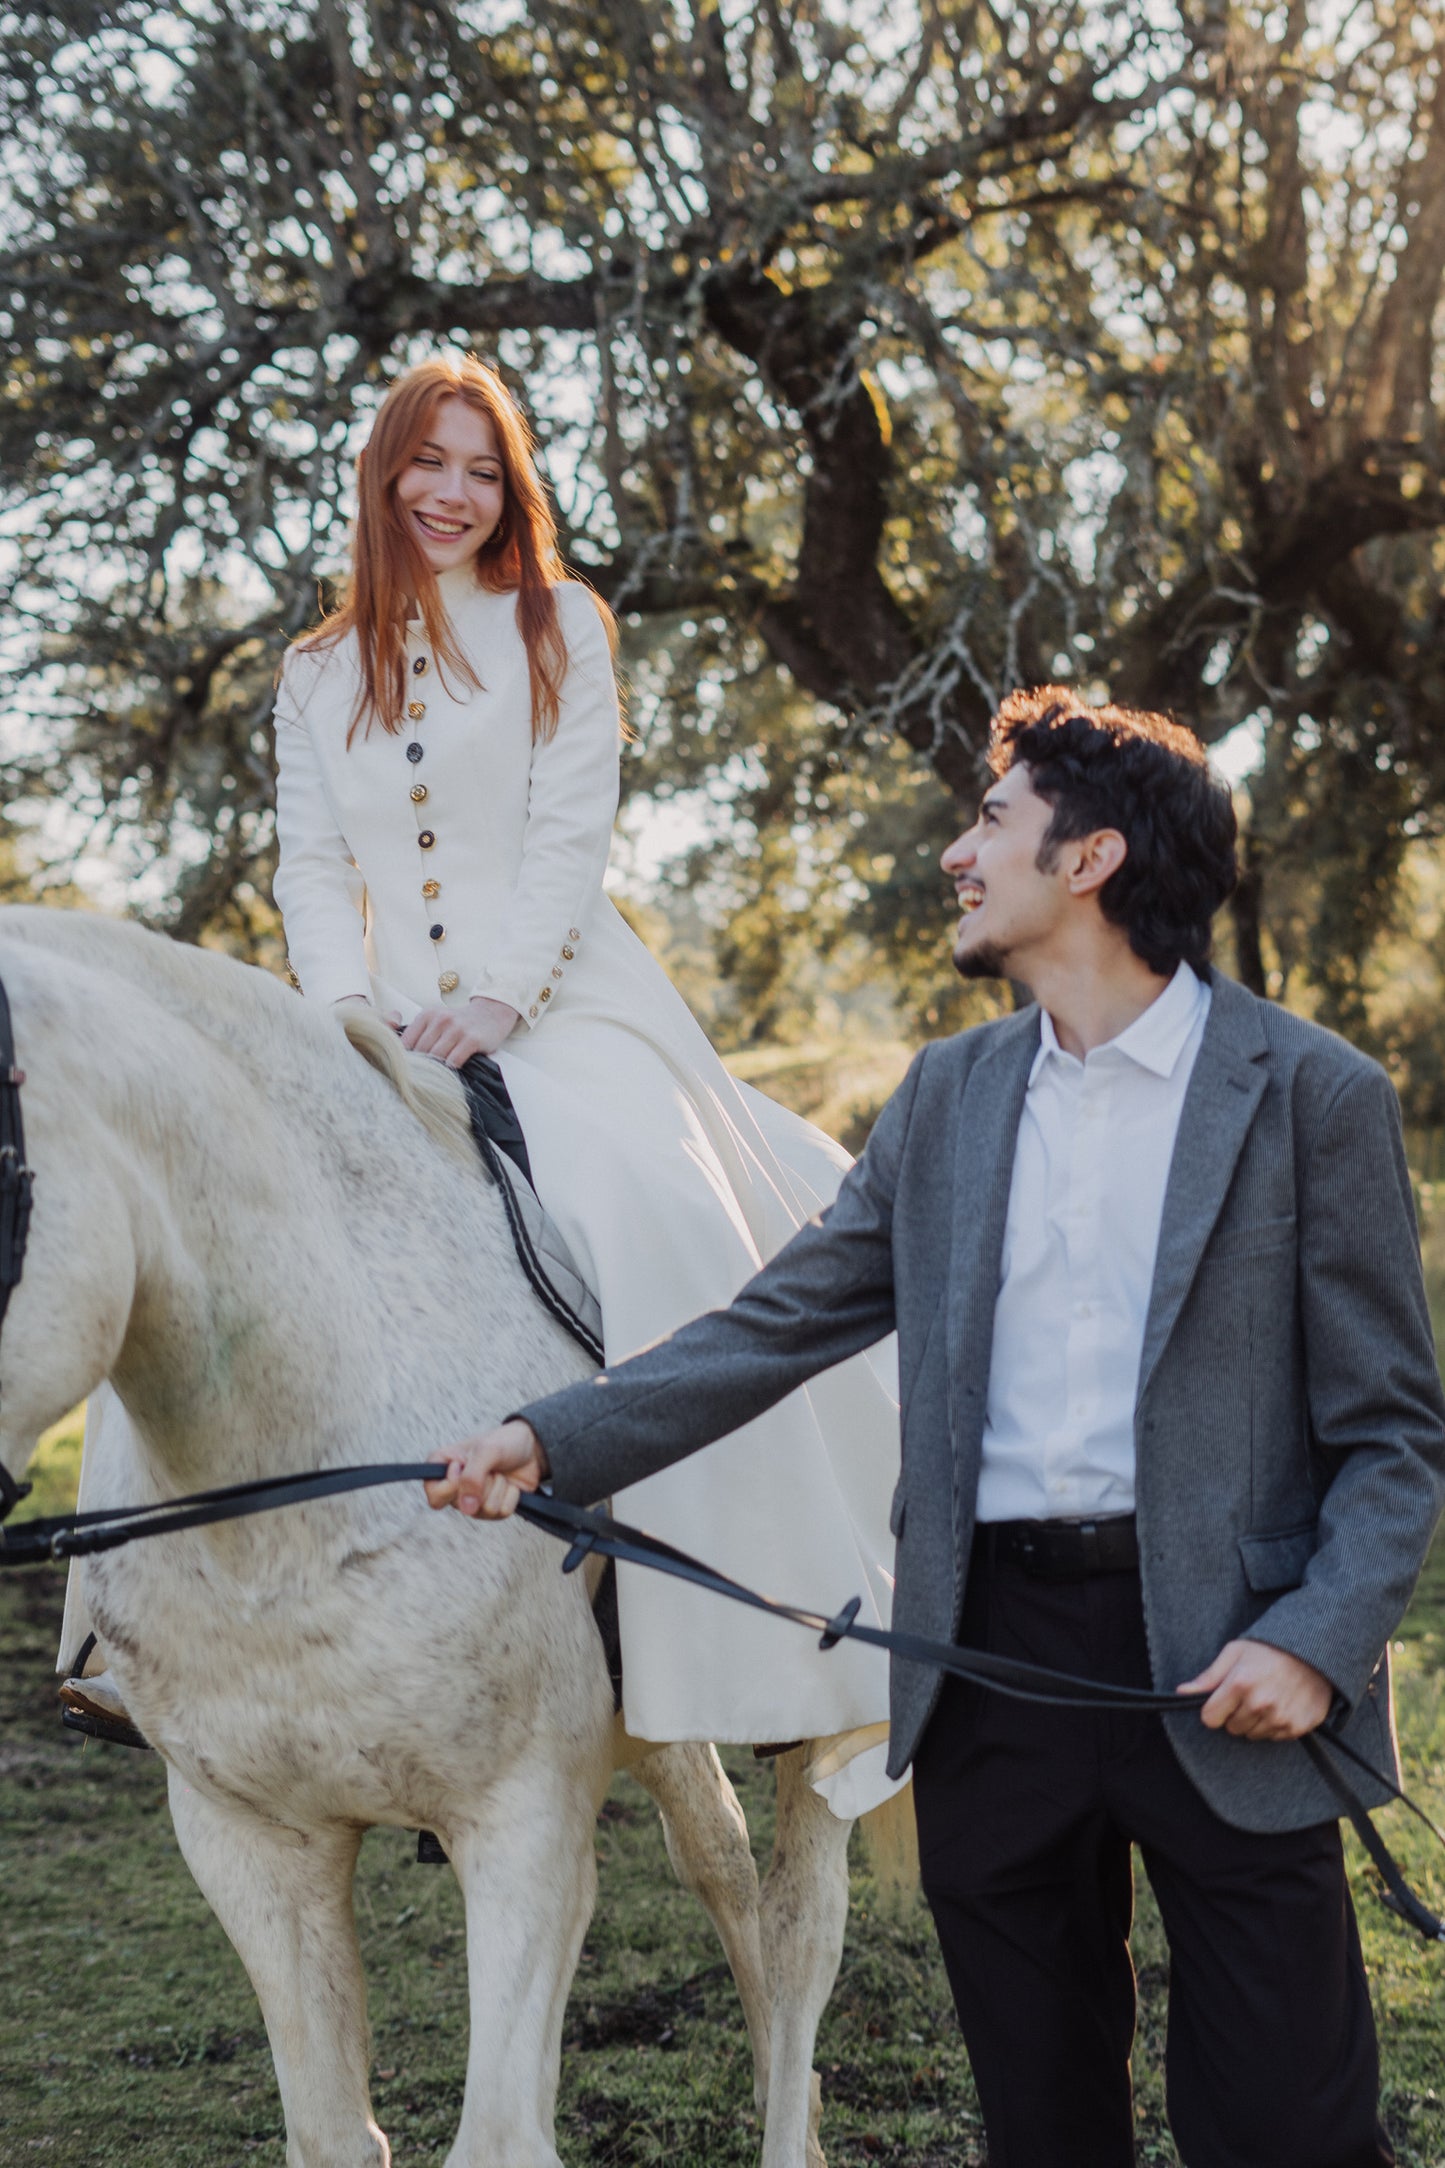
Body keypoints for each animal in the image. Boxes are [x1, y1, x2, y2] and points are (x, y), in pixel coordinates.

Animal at [0, 906, 883, 2159]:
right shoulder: (246, 1840)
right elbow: (333, 2132)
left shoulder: (524, 1828)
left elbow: (499, 2135)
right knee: (718, 1857)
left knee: (803, 1922)